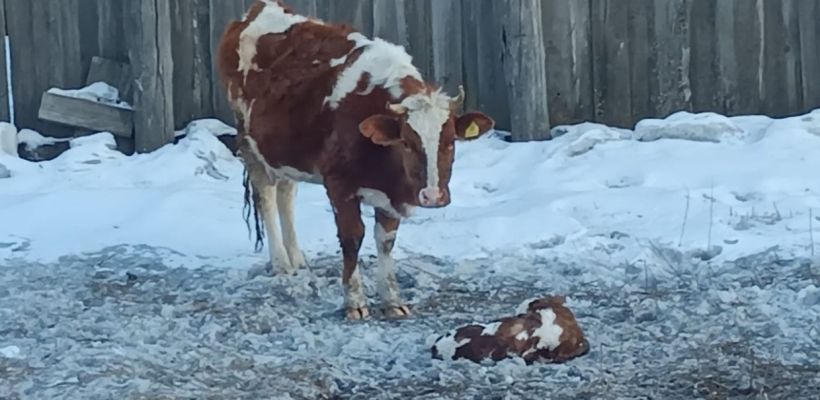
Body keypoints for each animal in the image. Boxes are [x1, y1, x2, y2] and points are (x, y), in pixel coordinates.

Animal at [216, 0, 495, 321]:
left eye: (450, 142)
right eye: (407, 143)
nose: (433, 196)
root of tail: (259, 9)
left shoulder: (390, 196)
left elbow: (385, 241)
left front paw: (392, 299)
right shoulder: (339, 185)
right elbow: (352, 238)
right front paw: (355, 301)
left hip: (283, 152)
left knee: (286, 194)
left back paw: (296, 257)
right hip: (249, 141)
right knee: (266, 196)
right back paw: (281, 263)